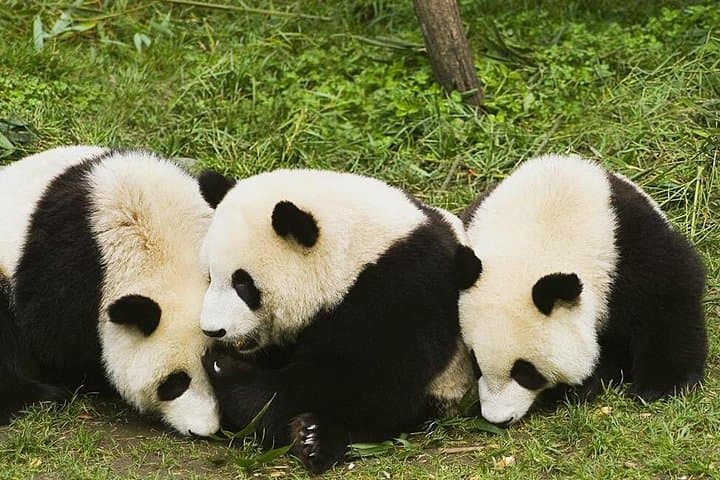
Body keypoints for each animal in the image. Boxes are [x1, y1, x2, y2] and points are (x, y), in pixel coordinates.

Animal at [196, 168, 481, 473]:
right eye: (210, 276)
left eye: (243, 284)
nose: (213, 330)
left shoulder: (401, 289)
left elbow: (360, 381)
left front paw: (224, 367)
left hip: (450, 382)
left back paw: (313, 439)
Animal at [458, 154, 707, 427]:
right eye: (476, 364)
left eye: (525, 371)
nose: (498, 419)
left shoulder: (627, 253)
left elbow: (667, 301)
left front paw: (660, 386)